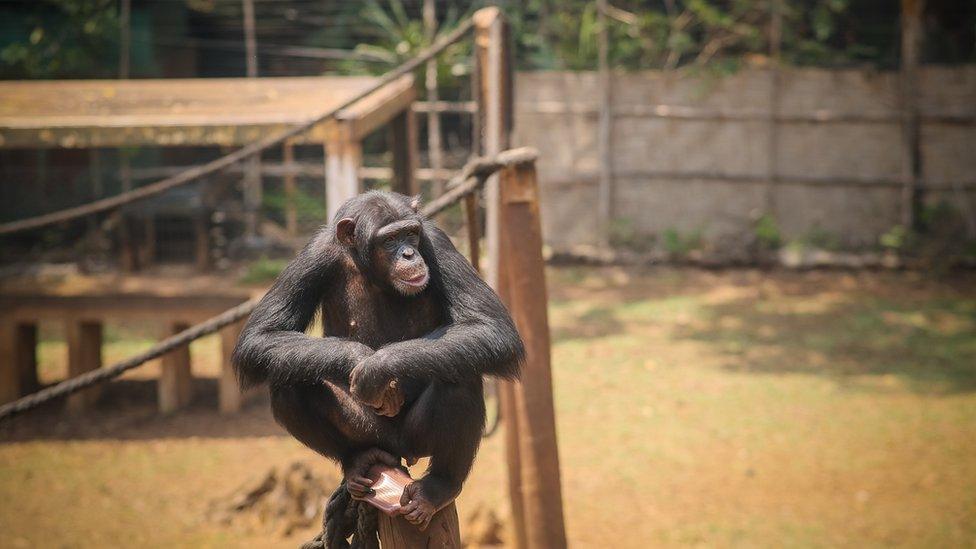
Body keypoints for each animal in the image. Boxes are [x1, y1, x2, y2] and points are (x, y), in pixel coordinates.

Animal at [232, 188, 524, 540]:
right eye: (390, 240)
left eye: (410, 233)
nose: (409, 254)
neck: (371, 270)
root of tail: (397, 453)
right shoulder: (312, 257)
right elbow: (261, 335)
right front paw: (357, 358)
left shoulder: (437, 242)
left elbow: (489, 326)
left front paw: (377, 368)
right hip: (369, 431)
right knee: (287, 381)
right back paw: (357, 460)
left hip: (417, 439)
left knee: (460, 374)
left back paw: (438, 487)